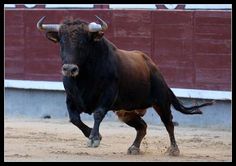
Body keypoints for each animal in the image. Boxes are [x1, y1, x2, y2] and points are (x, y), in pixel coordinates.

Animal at [37, 15, 214, 156]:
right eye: (62, 42)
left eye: (83, 42)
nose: (69, 69)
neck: (83, 77)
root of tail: (153, 67)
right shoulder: (71, 98)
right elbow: (74, 118)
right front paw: (92, 135)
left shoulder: (107, 94)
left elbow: (98, 114)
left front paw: (94, 138)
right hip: (126, 111)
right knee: (142, 127)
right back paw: (134, 148)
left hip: (161, 101)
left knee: (169, 123)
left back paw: (174, 149)